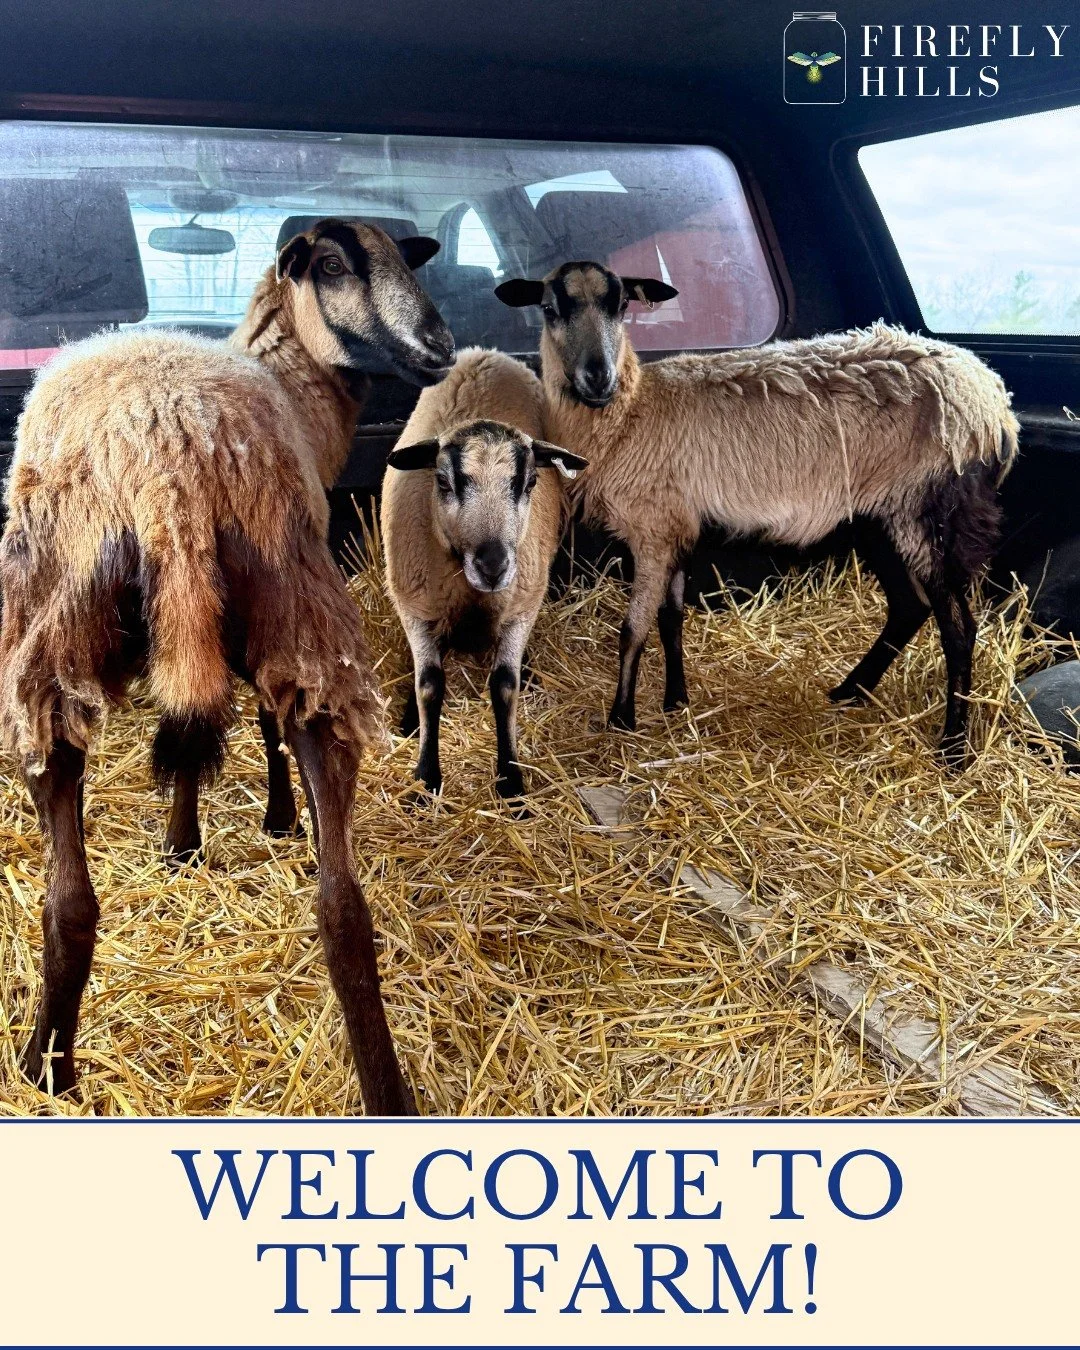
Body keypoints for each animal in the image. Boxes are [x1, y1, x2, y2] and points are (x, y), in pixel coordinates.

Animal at [0, 219, 455, 1114]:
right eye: (334, 265)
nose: (438, 346)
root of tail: (166, 471)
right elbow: (240, 727)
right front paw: (247, 827)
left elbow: (224, 727)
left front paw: (198, 839)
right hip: (276, 612)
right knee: (335, 903)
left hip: (66, 638)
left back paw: (44, 1067)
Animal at [381, 348, 586, 798]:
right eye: (443, 482)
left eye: (529, 483)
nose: (493, 565)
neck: (471, 594)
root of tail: (485, 354)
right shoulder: (416, 608)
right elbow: (429, 684)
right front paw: (426, 777)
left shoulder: (520, 609)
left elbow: (504, 685)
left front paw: (511, 779)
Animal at [496, 261, 1019, 765]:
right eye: (549, 308)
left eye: (621, 305)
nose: (597, 377)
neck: (631, 413)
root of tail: (995, 403)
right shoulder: (678, 523)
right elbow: (671, 618)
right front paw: (675, 701)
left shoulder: (654, 529)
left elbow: (633, 629)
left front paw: (622, 718)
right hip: (878, 515)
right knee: (910, 606)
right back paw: (851, 691)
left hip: (928, 509)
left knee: (958, 627)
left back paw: (953, 748)